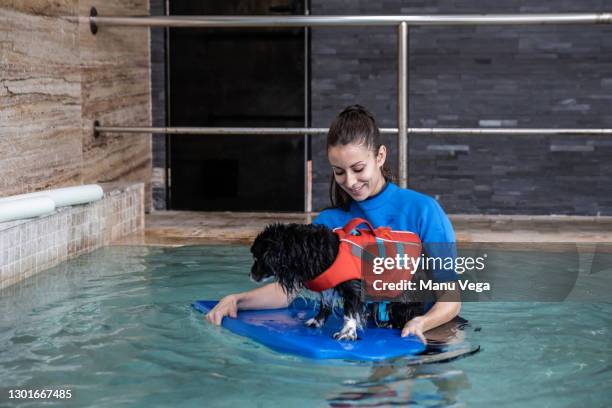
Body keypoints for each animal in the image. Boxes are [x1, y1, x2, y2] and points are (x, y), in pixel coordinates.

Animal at [250, 223, 426, 342]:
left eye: (258, 258)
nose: (250, 275)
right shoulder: (328, 284)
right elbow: (325, 305)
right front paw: (317, 321)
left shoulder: (354, 288)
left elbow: (350, 312)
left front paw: (346, 333)